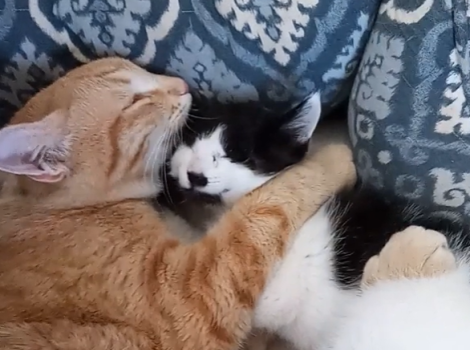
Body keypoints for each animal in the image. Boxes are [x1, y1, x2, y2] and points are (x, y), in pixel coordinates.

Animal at [0, 58, 354, 350]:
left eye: (239, 154)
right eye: (135, 101)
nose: (182, 85)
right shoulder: (190, 295)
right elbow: (270, 203)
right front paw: (335, 158)